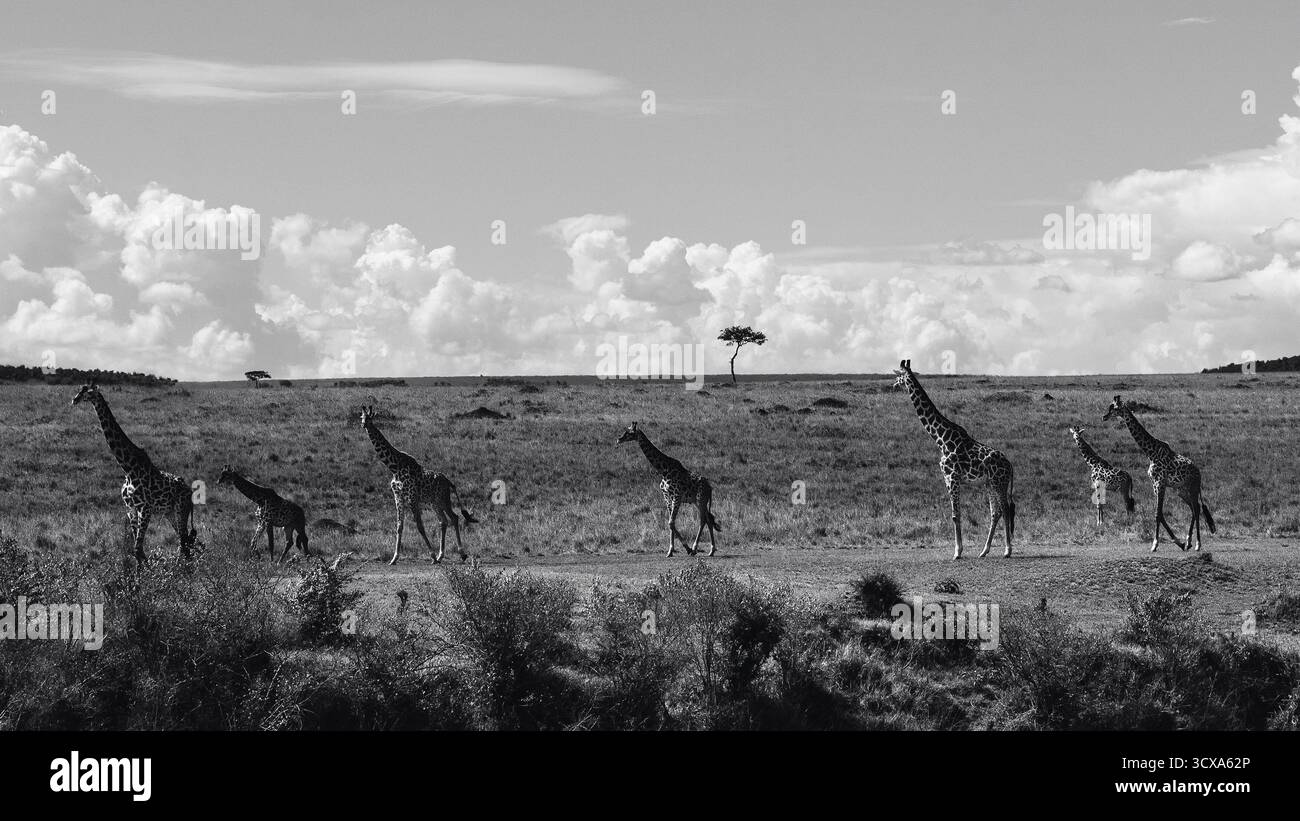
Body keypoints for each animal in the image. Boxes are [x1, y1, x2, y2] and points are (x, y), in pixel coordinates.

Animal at [72, 381, 195, 565]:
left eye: (89, 393)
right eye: (80, 389)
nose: (74, 399)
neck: (128, 468)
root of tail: (190, 491)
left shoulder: (145, 508)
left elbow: (138, 549)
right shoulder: (131, 509)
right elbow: (137, 551)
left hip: (181, 509)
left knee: (185, 543)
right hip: (169, 512)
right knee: (184, 541)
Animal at [360, 406, 478, 565]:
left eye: (370, 418)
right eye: (361, 417)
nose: (364, 425)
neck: (394, 466)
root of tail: (449, 482)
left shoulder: (412, 497)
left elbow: (420, 526)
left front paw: (432, 555)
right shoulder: (398, 497)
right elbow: (399, 526)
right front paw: (394, 558)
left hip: (443, 500)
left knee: (454, 518)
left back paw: (461, 554)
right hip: (434, 503)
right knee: (443, 521)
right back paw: (441, 555)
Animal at [617, 422, 720, 557]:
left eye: (629, 432)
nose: (619, 439)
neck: (663, 470)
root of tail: (710, 488)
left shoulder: (677, 496)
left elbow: (671, 522)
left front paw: (687, 548)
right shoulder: (667, 497)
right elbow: (671, 523)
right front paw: (670, 551)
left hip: (700, 501)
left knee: (703, 520)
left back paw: (695, 548)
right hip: (698, 502)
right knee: (709, 519)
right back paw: (711, 550)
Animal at [892, 359, 1015, 559]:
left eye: (899, 377)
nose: (893, 385)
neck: (941, 439)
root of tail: (1010, 464)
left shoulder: (952, 477)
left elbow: (955, 514)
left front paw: (957, 552)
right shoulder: (949, 479)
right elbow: (956, 514)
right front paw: (960, 550)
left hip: (999, 482)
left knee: (1005, 509)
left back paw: (1007, 550)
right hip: (989, 483)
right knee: (995, 512)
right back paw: (984, 551)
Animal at [1103, 395, 1215, 551]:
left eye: (1114, 408)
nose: (1104, 417)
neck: (1151, 453)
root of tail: (1199, 473)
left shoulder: (1160, 483)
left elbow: (1157, 514)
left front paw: (1155, 544)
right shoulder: (1155, 485)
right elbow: (1160, 514)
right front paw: (1179, 542)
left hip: (1192, 488)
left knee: (1197, 509)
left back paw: (1198, 544)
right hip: (1181, 490)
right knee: (1195, 508)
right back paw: (1188, 542)